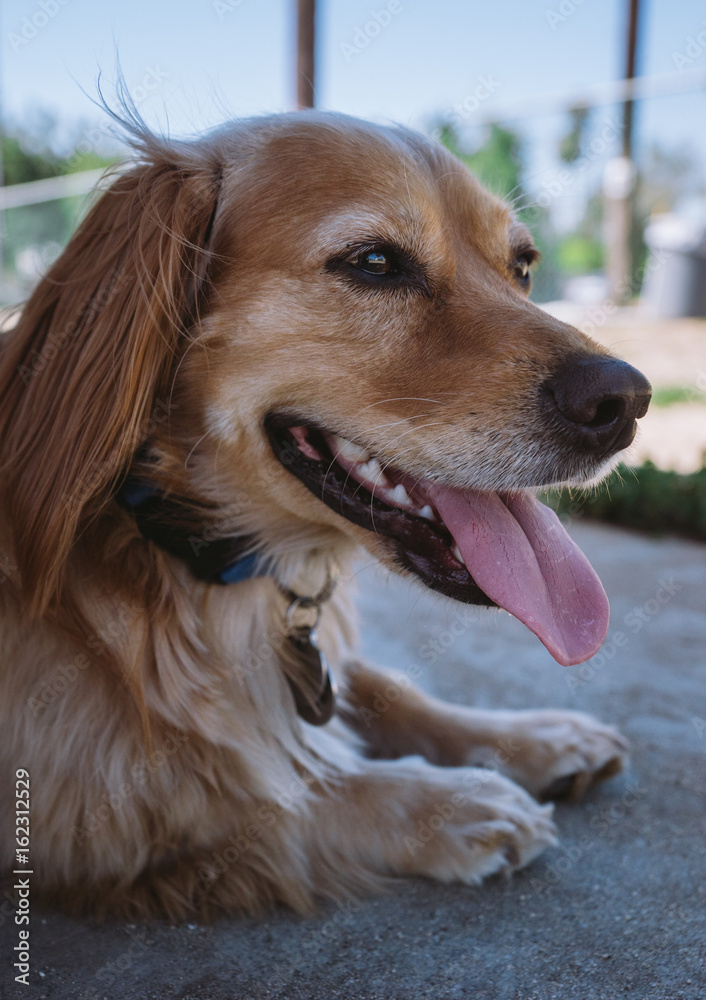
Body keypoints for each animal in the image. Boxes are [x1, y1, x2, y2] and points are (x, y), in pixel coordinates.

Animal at [0, 109, 648, 920]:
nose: (626, 402)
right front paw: (449, 803)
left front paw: (536, 737)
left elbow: (385, 688)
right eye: (374, 262)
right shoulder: (79, 800)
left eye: (523, 265)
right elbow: (272, 796)